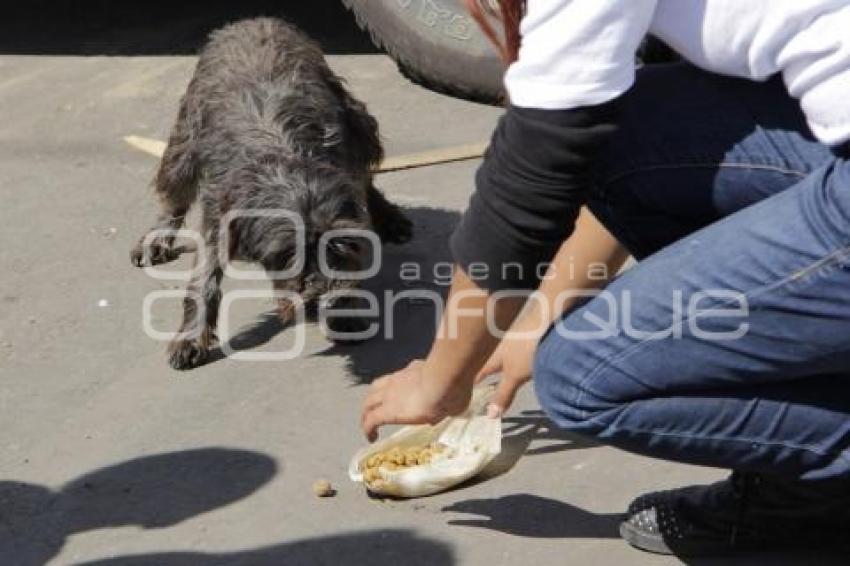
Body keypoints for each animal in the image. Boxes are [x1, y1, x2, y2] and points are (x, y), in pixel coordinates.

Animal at [129, 17, 410, 370]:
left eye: (340, 247)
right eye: (287, 253)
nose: (320, 300)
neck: (285, 157)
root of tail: (253, 21)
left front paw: (346, 312)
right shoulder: (221, 211)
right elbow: (203, 278)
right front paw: (191, 337)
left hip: (357, 122)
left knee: (367, 177)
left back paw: (389, 217)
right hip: (185, 141)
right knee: (174, 193)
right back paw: (156, 238)